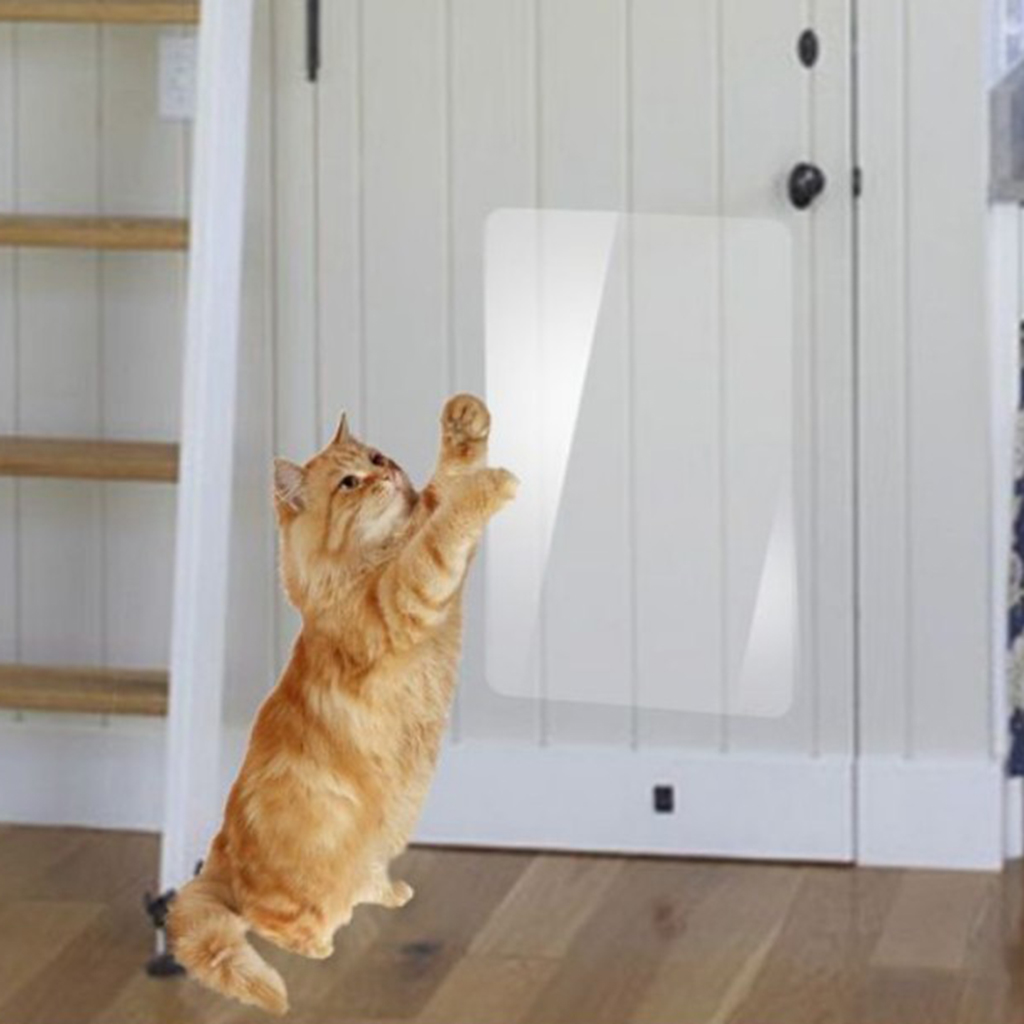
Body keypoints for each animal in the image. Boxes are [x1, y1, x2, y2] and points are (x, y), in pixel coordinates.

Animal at [167, 394, 517, 1015]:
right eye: (350, 482)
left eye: (376, 457)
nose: (386, 473)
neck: (367, 562)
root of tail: (217, 855)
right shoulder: (408, 595)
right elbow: (447, 523)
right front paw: (491, 483)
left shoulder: (430, 567)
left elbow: (445, 487)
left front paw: (464, 421)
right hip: (313, 871)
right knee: (274, 921)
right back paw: (318, 946)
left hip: (383, 836)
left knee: (360, 886)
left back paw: (389, 891)